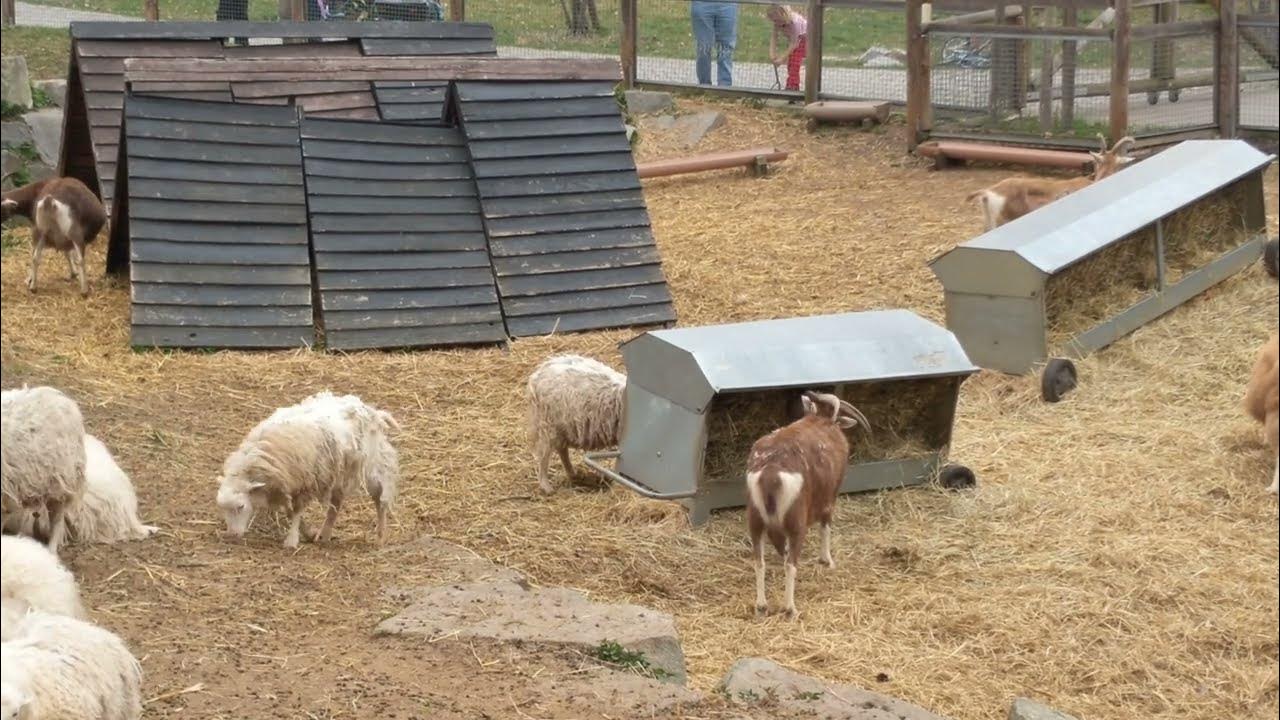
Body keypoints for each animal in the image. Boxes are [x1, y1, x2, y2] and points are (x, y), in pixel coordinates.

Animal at [746, 391, 869, 620]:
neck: (819, 420)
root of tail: (771, 472)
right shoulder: (830, 498)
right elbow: (826, 526)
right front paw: (827, 561)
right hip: (796, 525)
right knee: (790, 565)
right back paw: (790, 609)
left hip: (755, 521)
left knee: (759, 561)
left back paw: (762, 607)